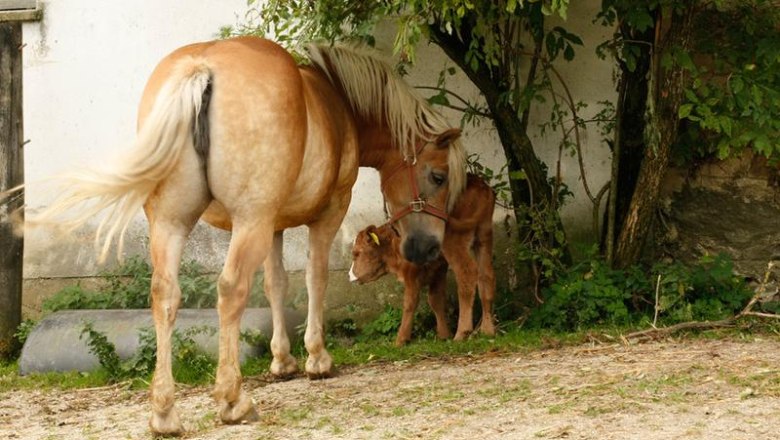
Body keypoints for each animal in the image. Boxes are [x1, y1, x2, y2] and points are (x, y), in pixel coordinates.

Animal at [22, 37, 464, 434]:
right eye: (438, 176)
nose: (428, 247)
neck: (337, 103)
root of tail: (201, 69)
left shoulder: (274, 226)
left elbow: (275, 285)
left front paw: (281, 362)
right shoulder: (325, 214)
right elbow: (315, 279)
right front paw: (316, 358)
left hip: (172, 223)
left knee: (164, 295)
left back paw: (164, 414)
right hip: (248, 222)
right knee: (231, 289)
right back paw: (233, 400)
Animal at [350, 174, 496, 346]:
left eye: (356, 253)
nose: (349, 275)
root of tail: (479, 185)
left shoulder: (411, 272)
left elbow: (410, 303)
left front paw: (400, 340)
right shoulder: (437, 267)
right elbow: (435, 300)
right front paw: (443, 334)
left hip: (455, 242)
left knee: (467, 275)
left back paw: (462, 333)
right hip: (484, 236)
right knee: (486, 275)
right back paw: (488, 330)